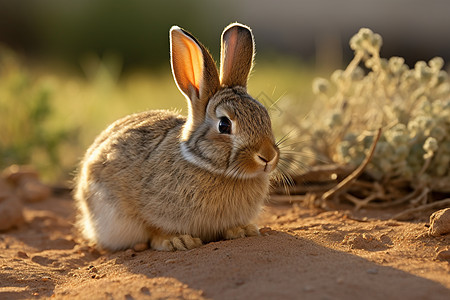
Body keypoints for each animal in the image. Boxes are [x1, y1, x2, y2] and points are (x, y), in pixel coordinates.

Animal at [73, 22, 278, 251]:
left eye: (265, 116)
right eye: (224, 125)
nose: (268, 156)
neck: (205, 164)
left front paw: (243, 230)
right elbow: (154, 229)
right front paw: (178, 241)